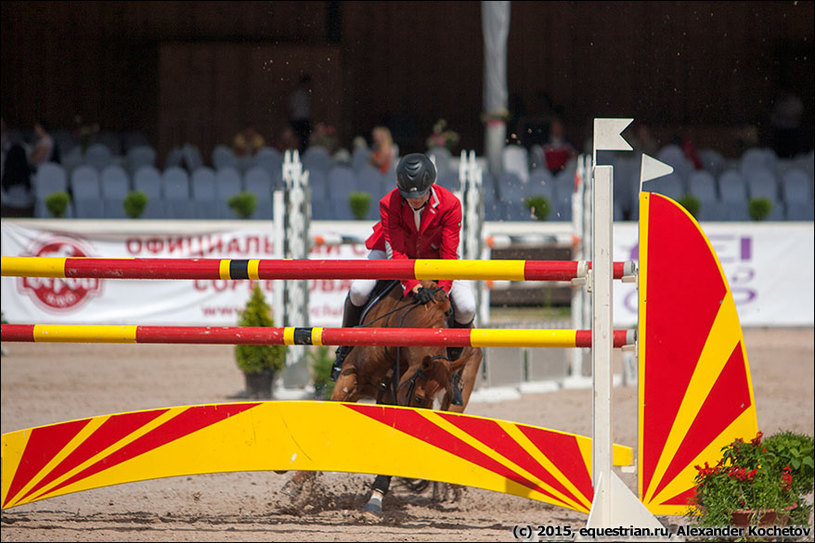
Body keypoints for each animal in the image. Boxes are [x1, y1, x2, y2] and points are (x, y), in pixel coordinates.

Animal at [284, 280, 482, 516]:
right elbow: (329, 426)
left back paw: (452, 488)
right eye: (418, 398)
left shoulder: (394, 396)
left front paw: (376, 497)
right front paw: (295, 483)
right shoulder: (350, 380)